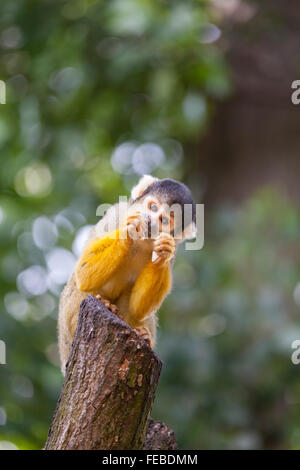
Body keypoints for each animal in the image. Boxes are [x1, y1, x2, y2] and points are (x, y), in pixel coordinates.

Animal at [58, 176, 197, 374]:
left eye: (163, 219)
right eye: (152, 207)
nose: (150, 220)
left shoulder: (174, 246)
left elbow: (138, 307)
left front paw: (162, 253)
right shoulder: (115, 214)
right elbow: (84, 273)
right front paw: (128, 229)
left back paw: (142, 335)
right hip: (66, 328)